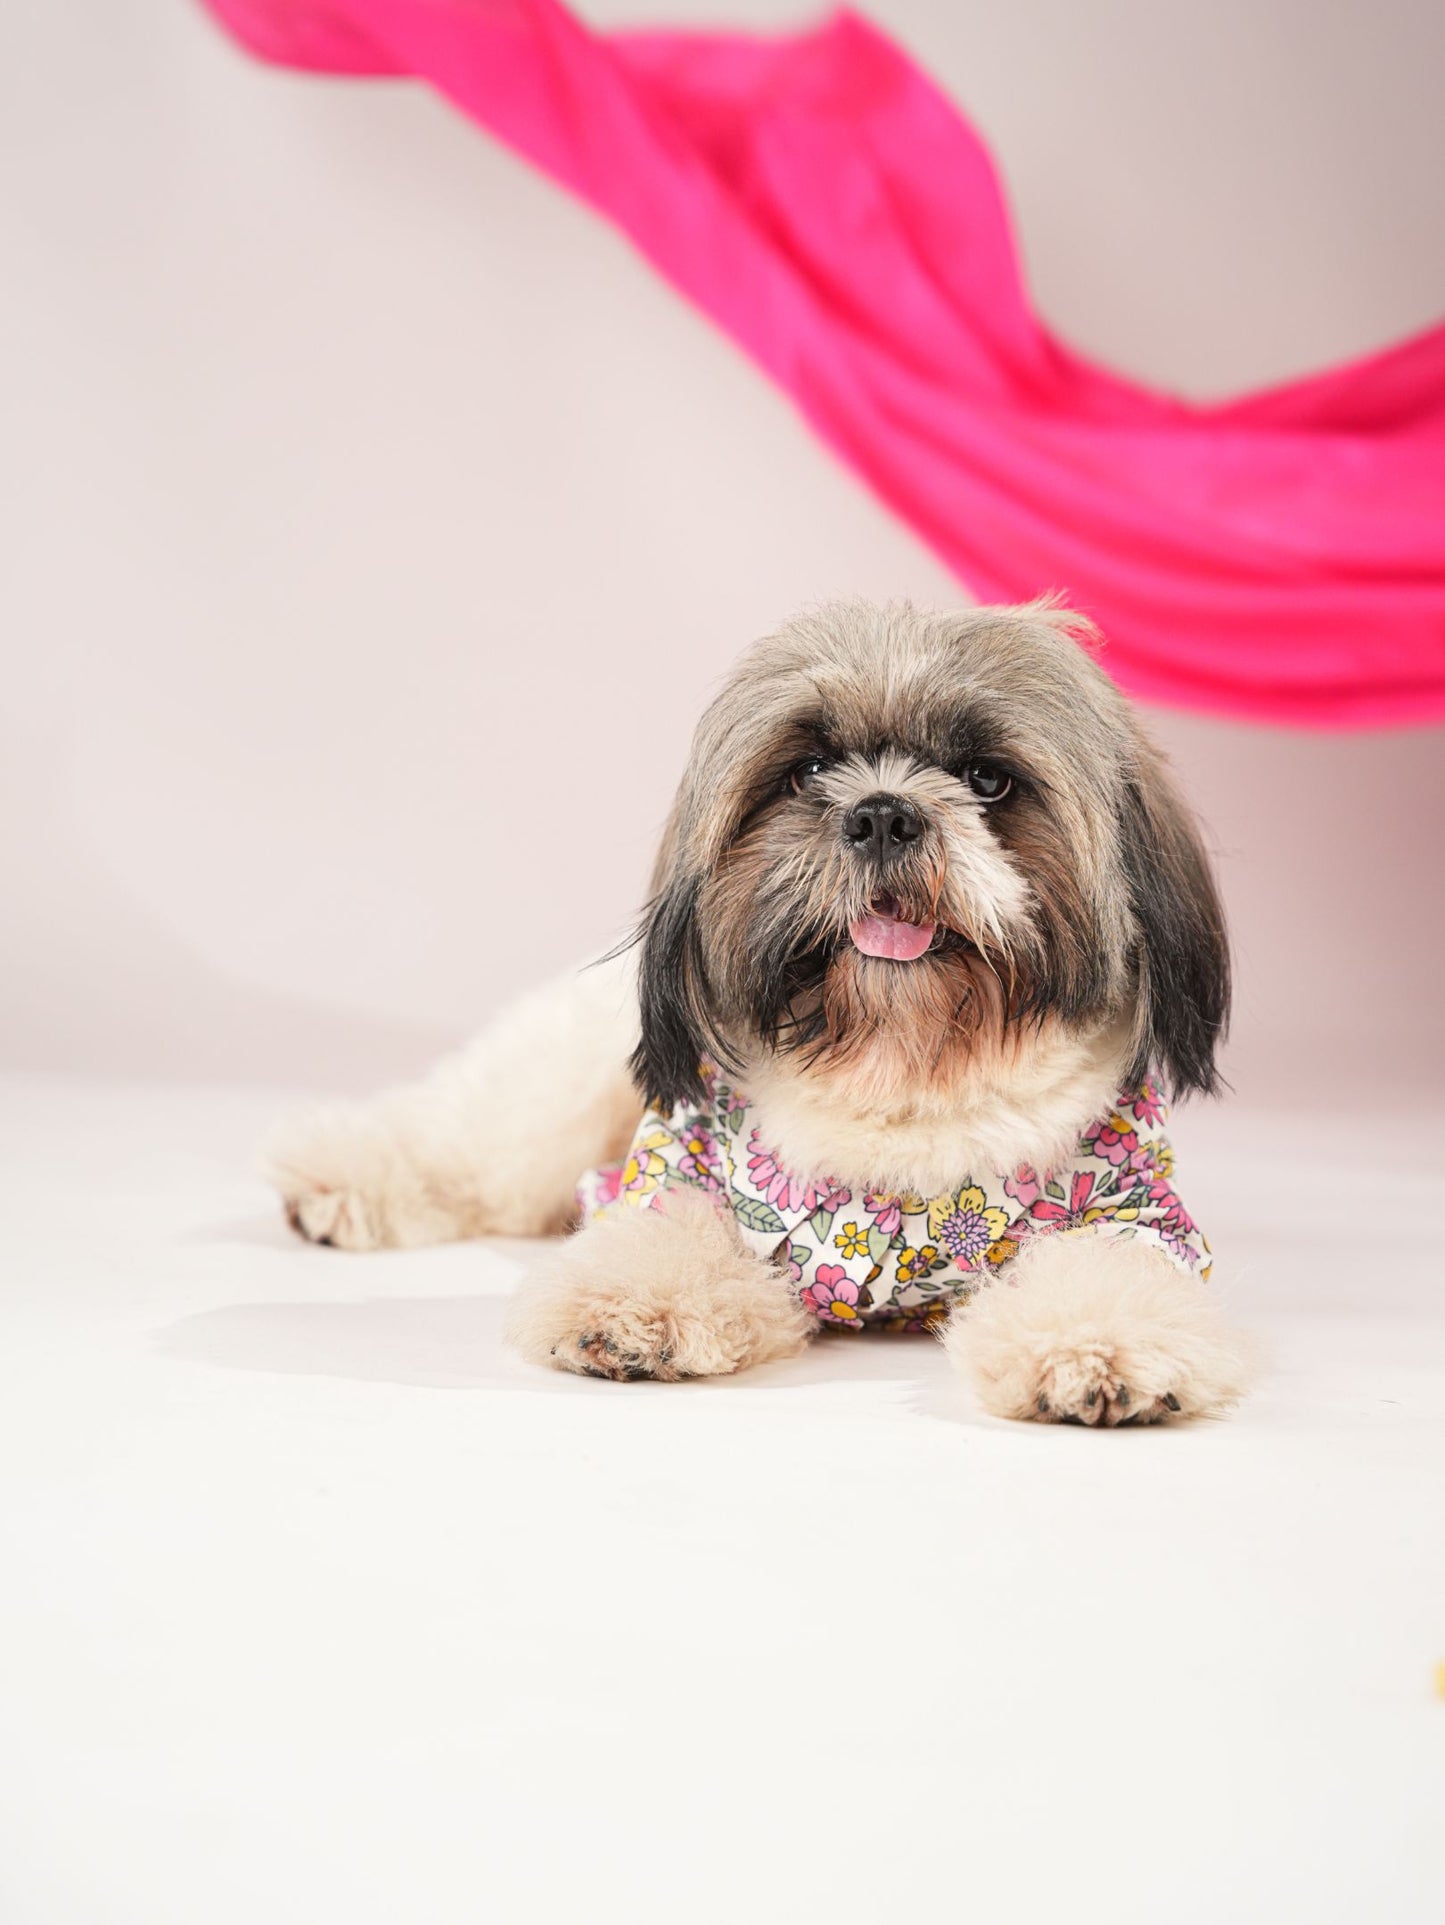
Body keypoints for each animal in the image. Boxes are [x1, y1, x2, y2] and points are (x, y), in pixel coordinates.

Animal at [269, 600, 1254, 1432]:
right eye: (808, 770)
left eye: (987, 778)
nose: (882, 813)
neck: (896, 1064)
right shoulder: (679, 1163)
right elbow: (659, 1237)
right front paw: (633, 1311)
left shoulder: (1132, 1209)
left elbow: (1111, 1273)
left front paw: (1099, 1353)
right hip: (553, 1097)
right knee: (460, 1143)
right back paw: (336, 1178)